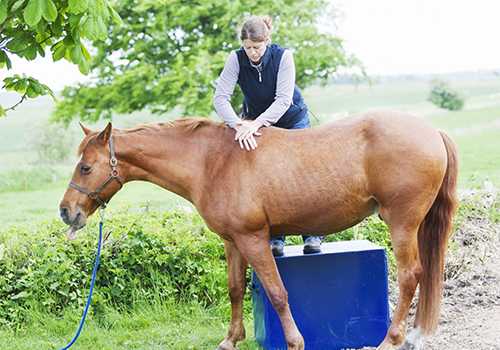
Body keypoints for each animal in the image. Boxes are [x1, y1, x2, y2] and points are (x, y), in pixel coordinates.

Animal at [57, 108, 458, 350]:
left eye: (85, 168)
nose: (65, 211)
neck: (213, 161)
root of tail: (431, 129)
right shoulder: (232, 241)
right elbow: (235, 290)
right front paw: (232, 339)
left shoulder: (253, 239)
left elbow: (277, 292)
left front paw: (295, 341)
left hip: (402, 223)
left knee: (410, 275)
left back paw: (392, 339)